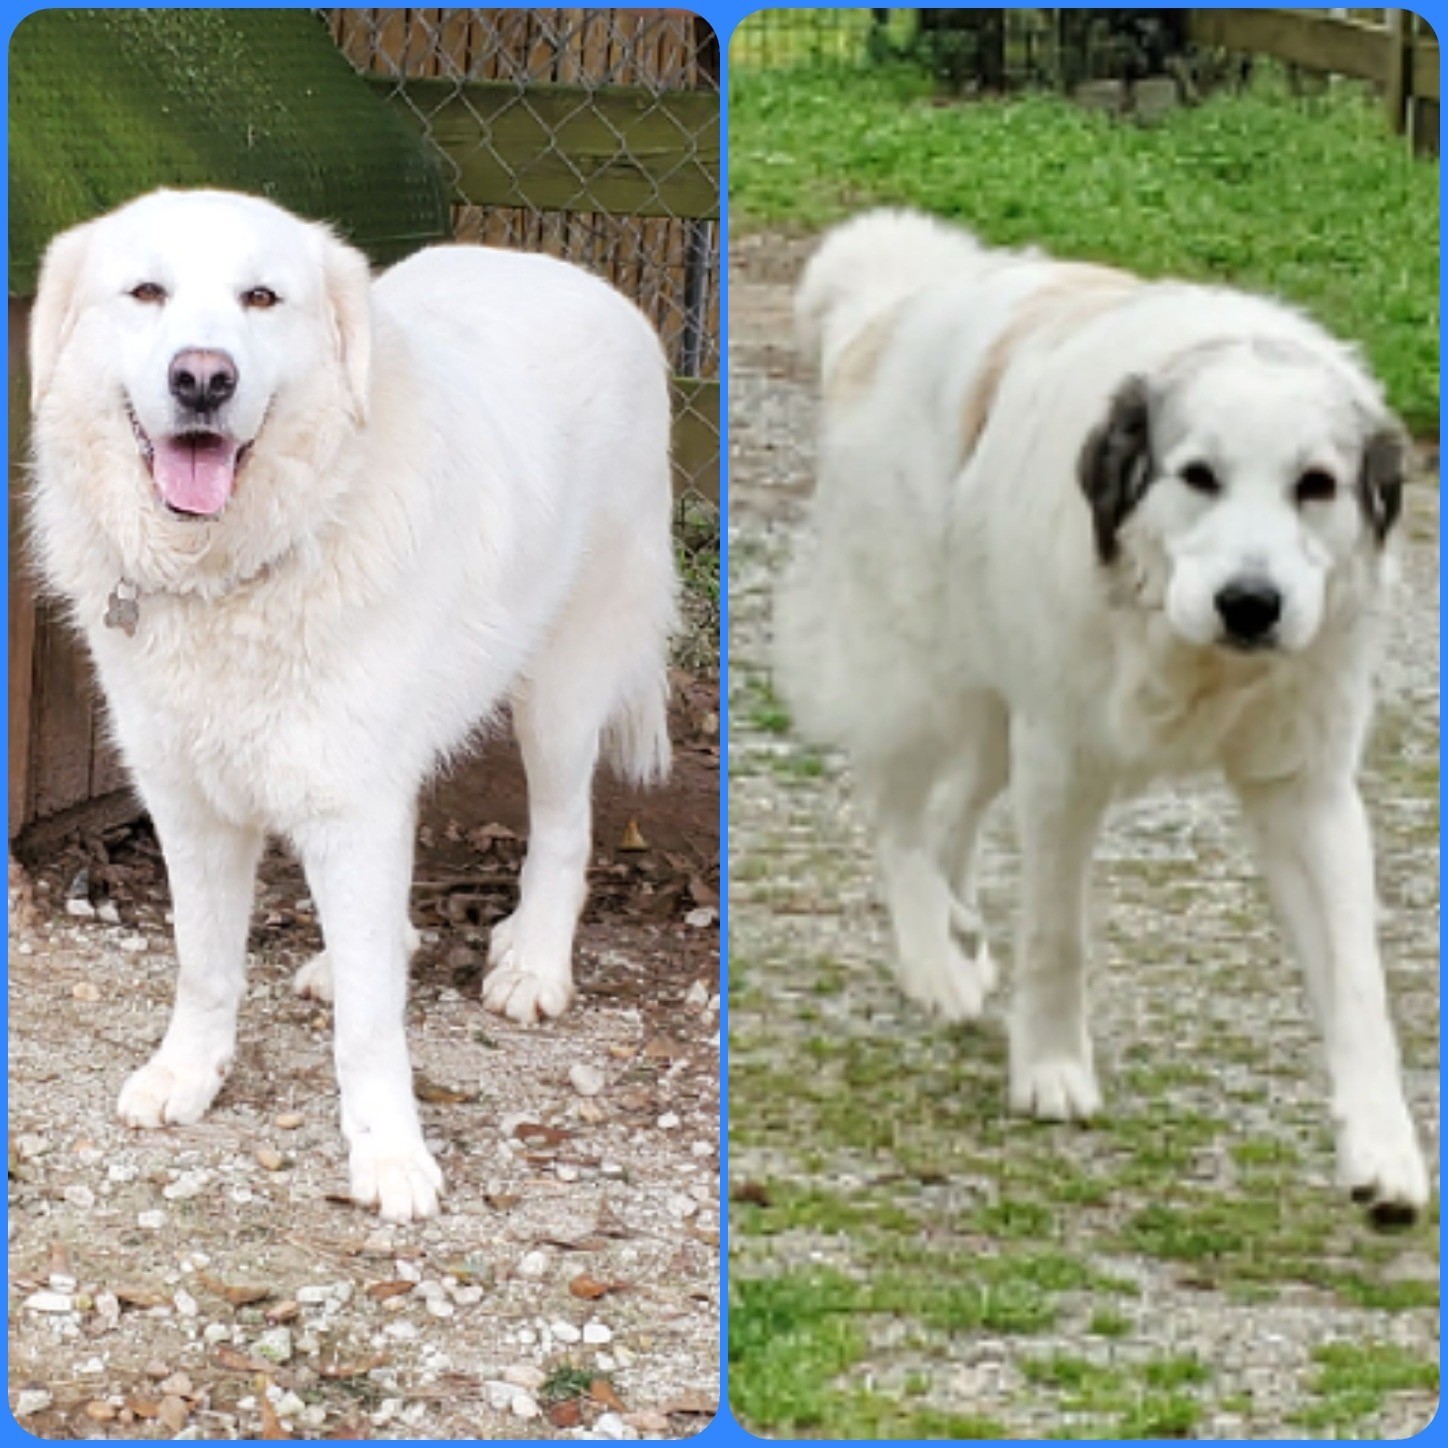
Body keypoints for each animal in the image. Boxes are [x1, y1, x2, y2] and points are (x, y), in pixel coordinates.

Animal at [25, 186, 674, 1216]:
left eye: (261, 298)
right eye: (146, 293)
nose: (201, 380)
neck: (235, 571)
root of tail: (583, 278)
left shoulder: (354, 804)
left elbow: (372, 1029)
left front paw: (389, 1155)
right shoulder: (190, 805)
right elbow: (205, 965)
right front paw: (188, 1074)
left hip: (563, 687)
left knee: (566, 830)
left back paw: (535, 961)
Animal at [776, 207, 1430, 1222]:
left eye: (1316, 485)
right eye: (1197, 476)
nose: (1252, 603)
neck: (1192, 653)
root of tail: (899, 300)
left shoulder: (1308, 789)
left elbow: (1359, 980)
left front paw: (1384, 1148)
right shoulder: (1063, 760)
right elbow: (1058, 933)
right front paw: (1050, 1067)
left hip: (992, 702)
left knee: (954, 810)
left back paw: (960, 929)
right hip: (926, 674)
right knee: (894, 814)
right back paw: (933, 959)